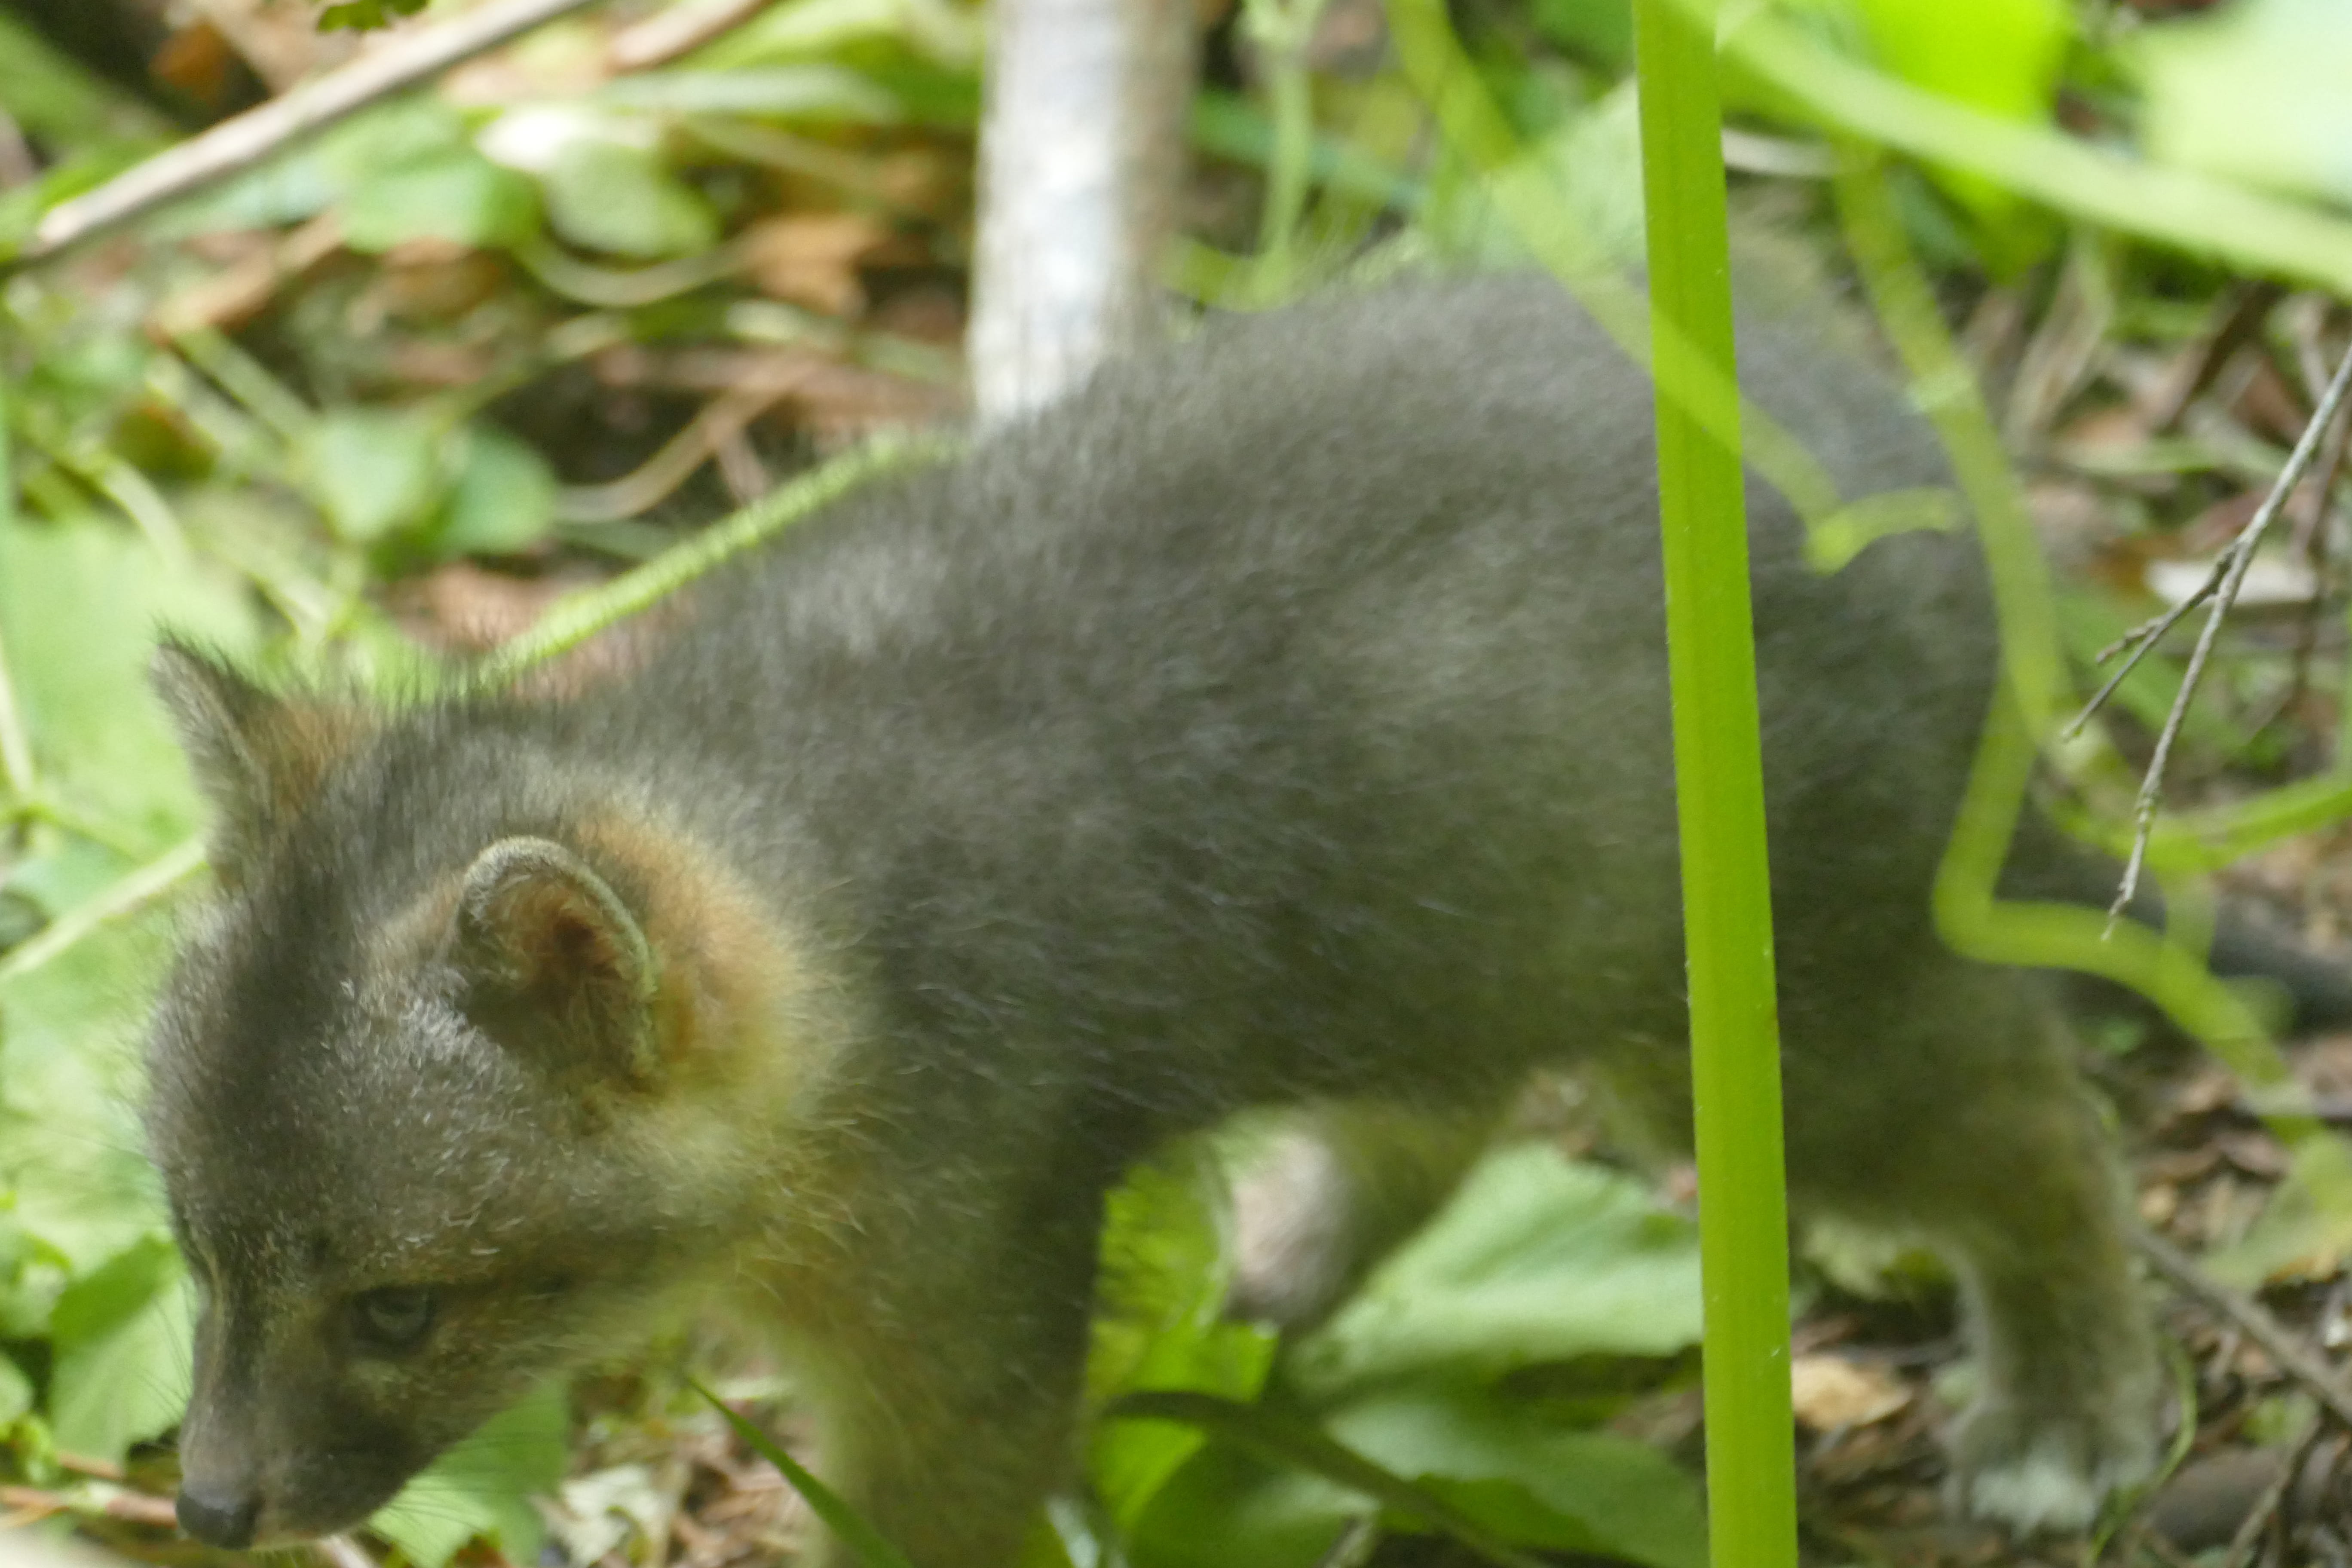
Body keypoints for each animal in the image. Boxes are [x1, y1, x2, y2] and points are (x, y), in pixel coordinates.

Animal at [142, 275, 2347, 1566]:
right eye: (196, 1254)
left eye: (399, 1306)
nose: (203, 1507)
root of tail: (1956, 509)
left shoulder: (948, 1342)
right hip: (1483, 934)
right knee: (1431, 1129)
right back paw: (1258, 1298)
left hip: (1751, 1026)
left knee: (2034, 1118)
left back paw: (2072, 1416)